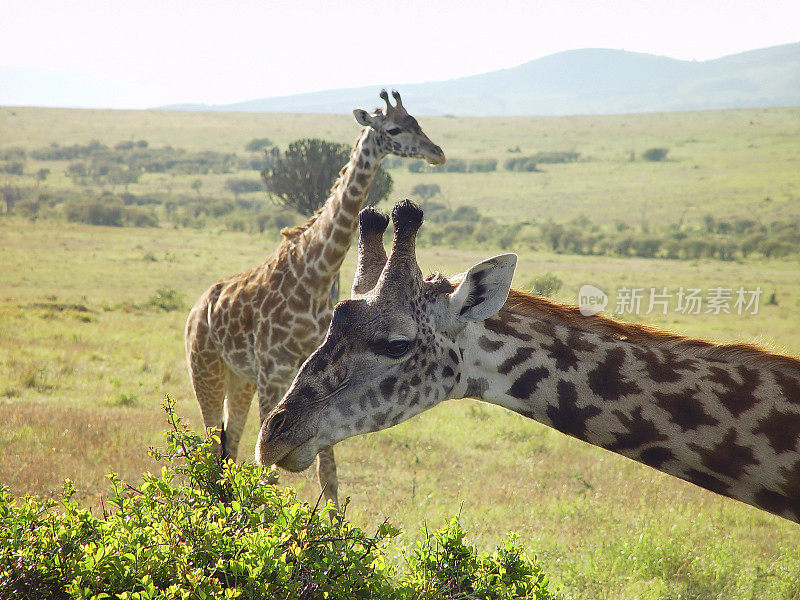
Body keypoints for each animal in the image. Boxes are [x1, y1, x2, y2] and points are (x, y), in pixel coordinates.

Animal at [186, 94, 444, 506]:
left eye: (417, 122)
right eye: (393, 129)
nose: (437, 153)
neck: (317, 273)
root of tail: (197, 310)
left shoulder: (316, 373)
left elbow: (328, 473)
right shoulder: (274, 373)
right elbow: (268, 472)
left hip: (240, 379)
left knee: (229, 449)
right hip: (206, 371)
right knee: (212, 448)